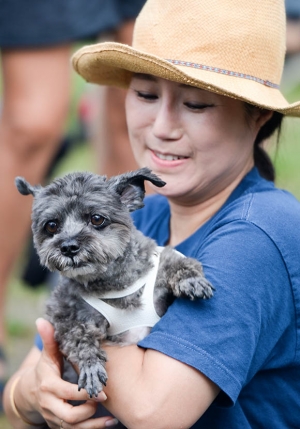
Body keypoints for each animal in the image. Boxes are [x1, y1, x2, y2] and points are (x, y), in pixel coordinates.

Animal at [15, 169, 213, 396]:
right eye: (51, 225)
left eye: (97, 219)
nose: (68, 247)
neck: (114, 283)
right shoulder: (64, 313)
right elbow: (78, 334)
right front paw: (91, 365)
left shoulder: (158, 264)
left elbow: (175, 260)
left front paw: (191, 279)